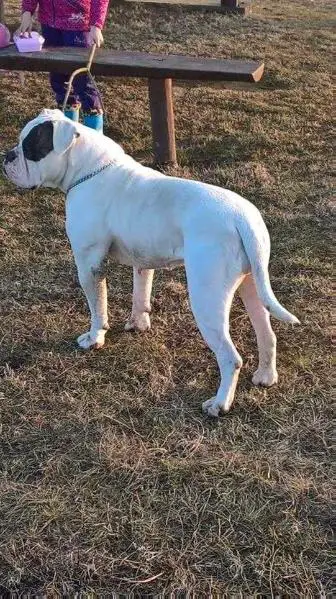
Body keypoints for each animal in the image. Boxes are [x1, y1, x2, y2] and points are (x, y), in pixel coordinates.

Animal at [3, 109, 300, 418]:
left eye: (31, 148)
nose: (7, 156)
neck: (88, 170)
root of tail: (242, 218)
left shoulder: (88, 263)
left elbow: (98, 306)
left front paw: (95, 338)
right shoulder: (142, 260)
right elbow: (140, 293)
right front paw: (138, 323)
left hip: (207, 299)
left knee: (231, 358)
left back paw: (219, 404)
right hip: (252, 285)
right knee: (267, 334)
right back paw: (265, 377)